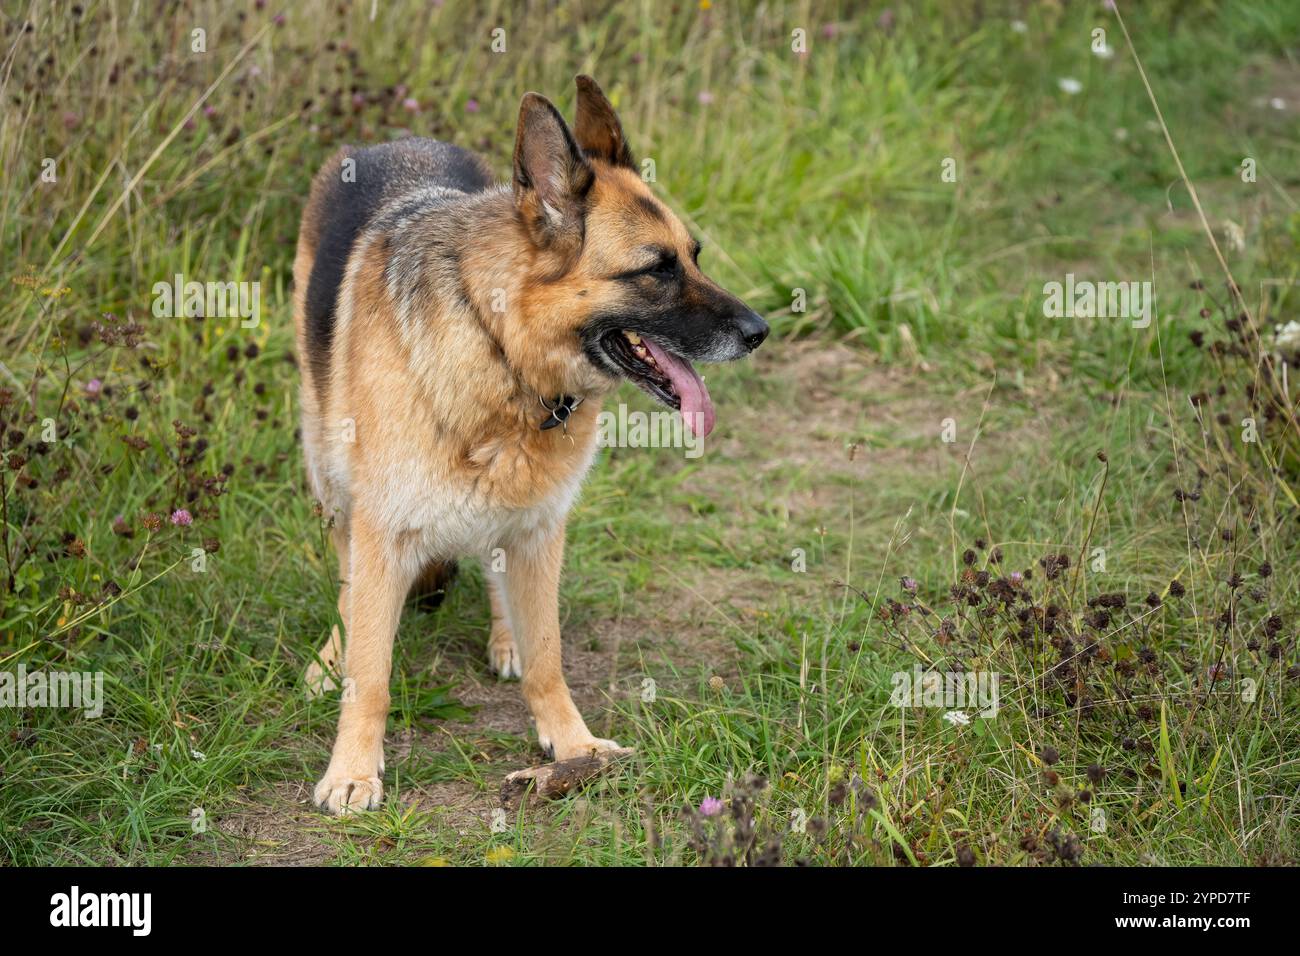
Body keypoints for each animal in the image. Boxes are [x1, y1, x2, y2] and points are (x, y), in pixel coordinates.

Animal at [289, 76, 764, 816]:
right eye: (654, 270)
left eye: (694, 257)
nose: (761, 330)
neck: (502, 351)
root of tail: (397, 139)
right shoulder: (383, 527)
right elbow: (372, 671)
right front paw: (353, 770)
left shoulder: (541, 528)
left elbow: (548, 657)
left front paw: (571, 745)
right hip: (330, 474)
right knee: (347, 585)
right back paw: (331, 657)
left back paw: (503, 632)